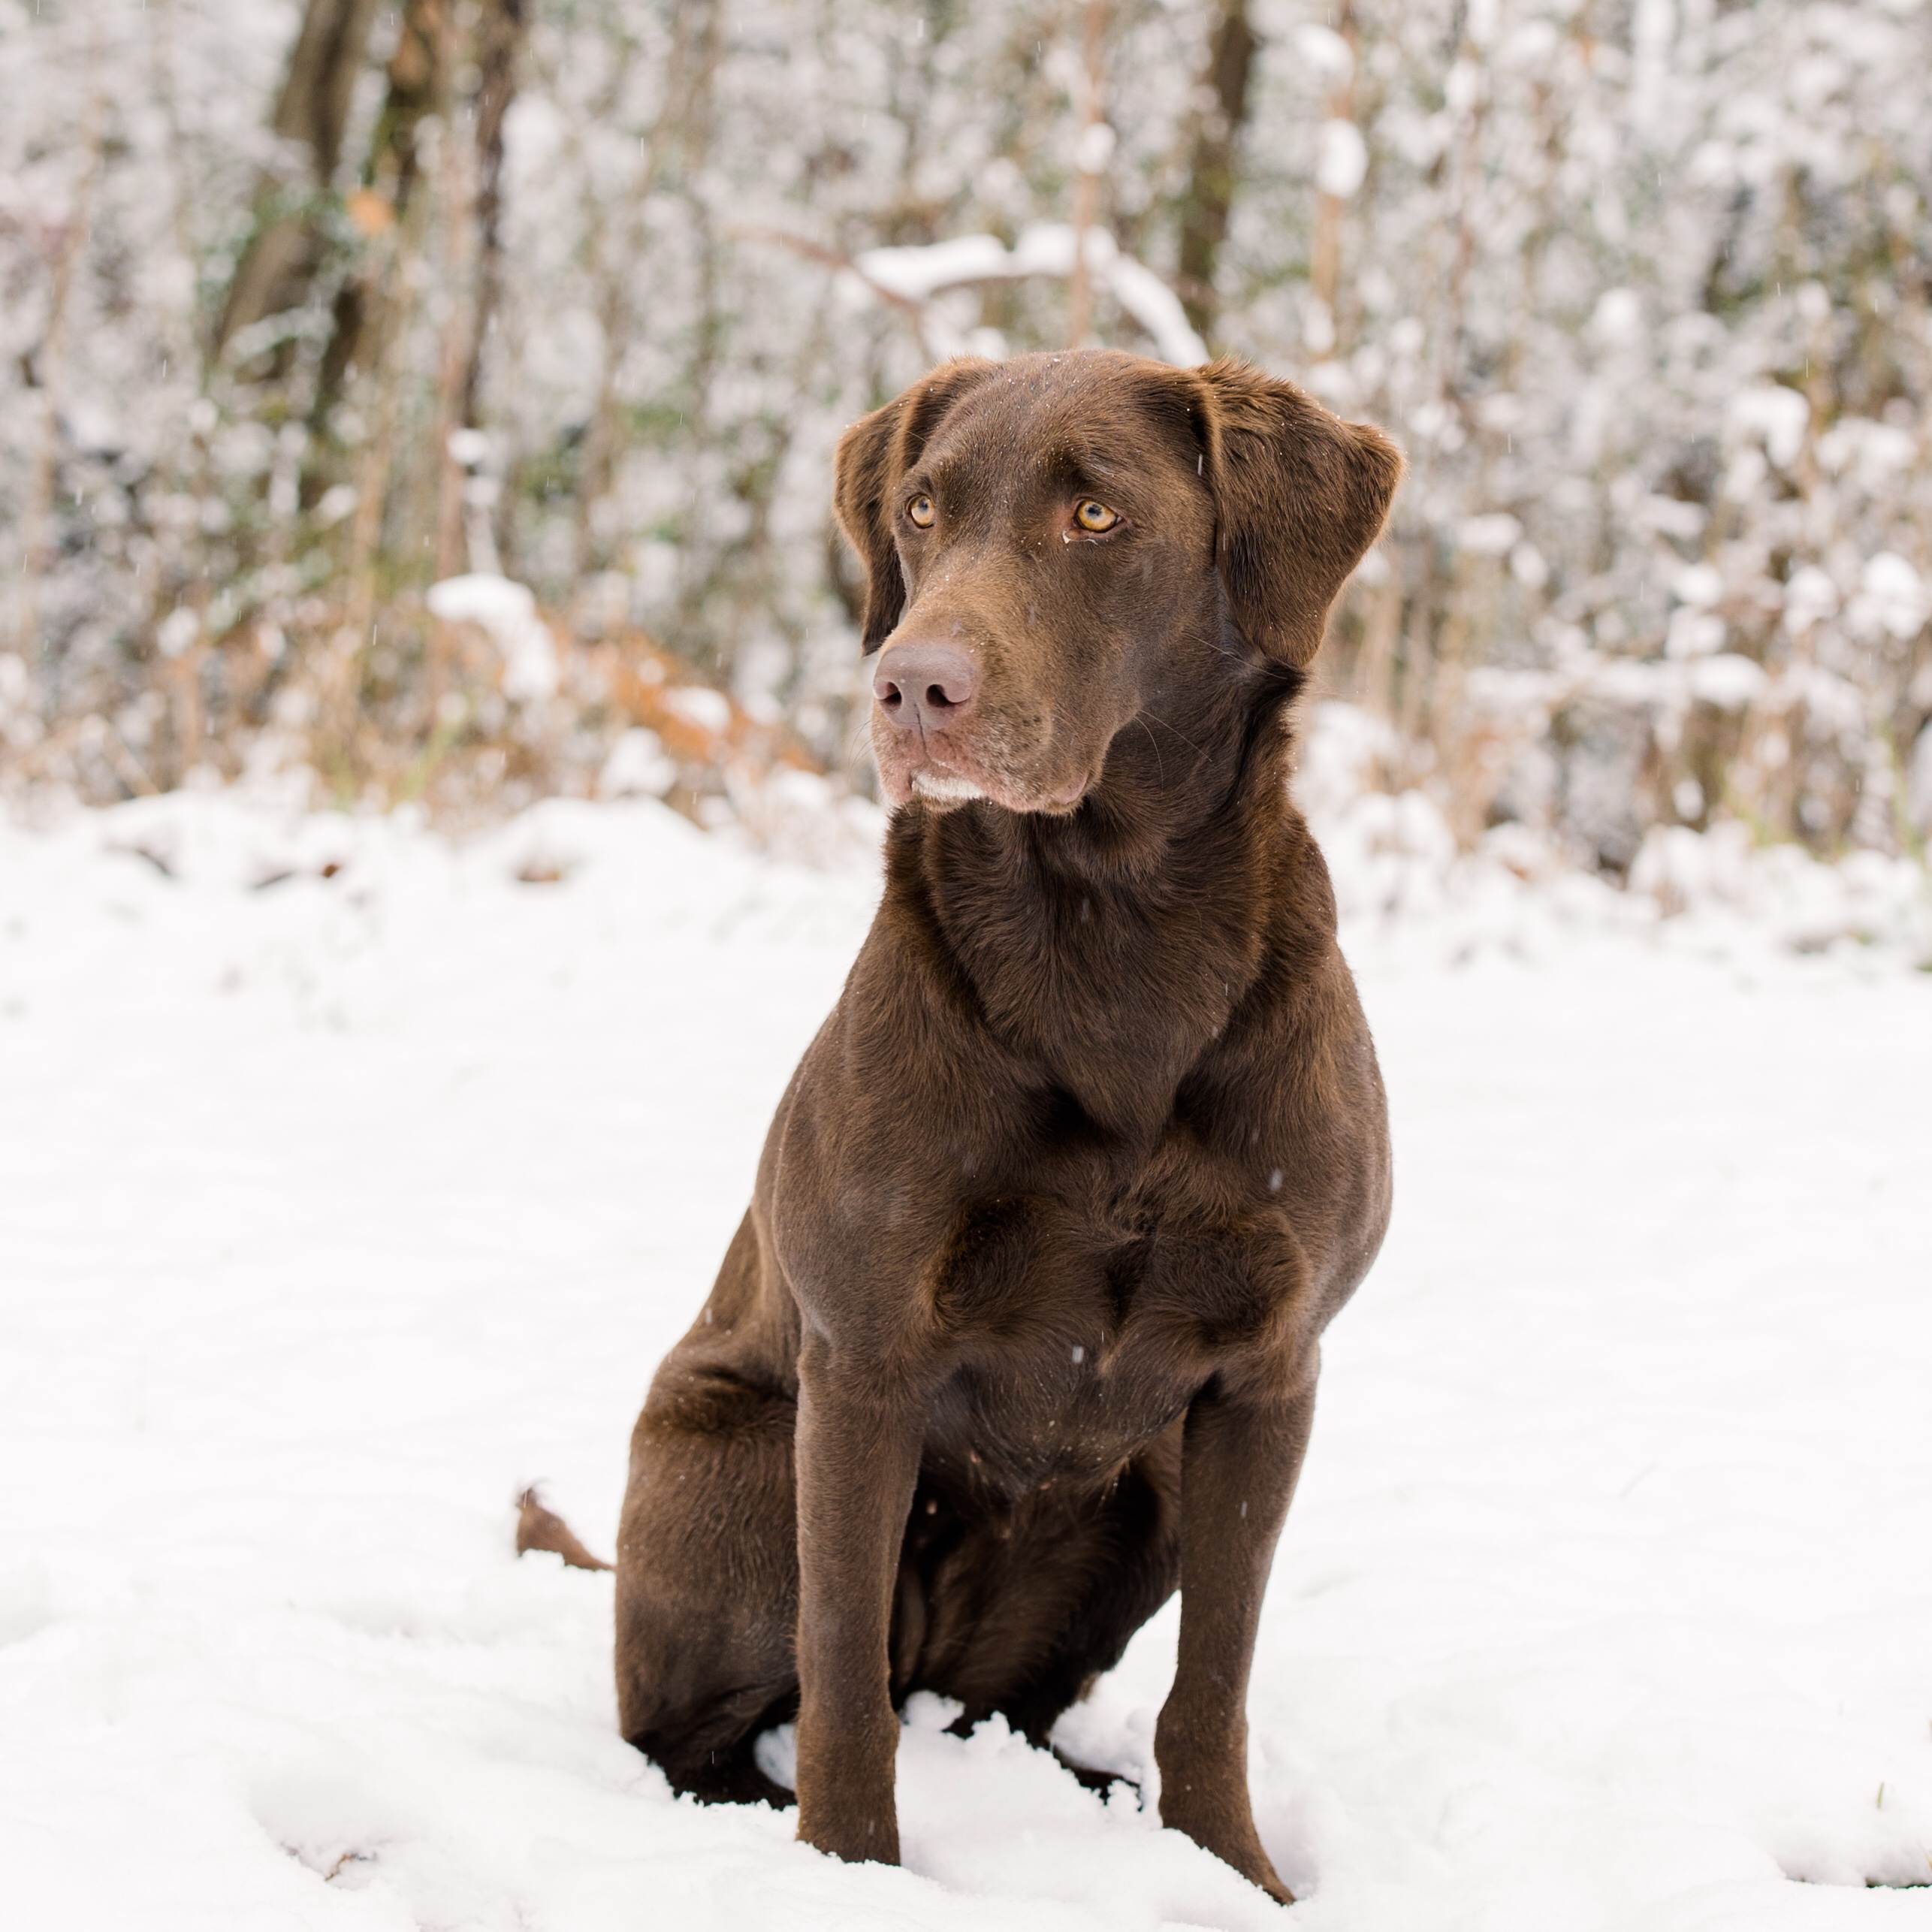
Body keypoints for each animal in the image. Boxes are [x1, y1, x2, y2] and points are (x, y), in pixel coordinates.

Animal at [618, 347, 1406, 1900]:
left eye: (1094, 515)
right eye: (921, 511)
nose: (911, 684)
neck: (1108, 928)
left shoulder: (1270, 1374)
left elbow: (1212, 1683)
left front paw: (1232, 1872)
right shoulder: (861, 1362)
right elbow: (842, 1679)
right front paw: (851, 1876)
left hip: (1143, 1494)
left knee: (1012, 1711)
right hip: (737, 1459)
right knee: (719, 1727)